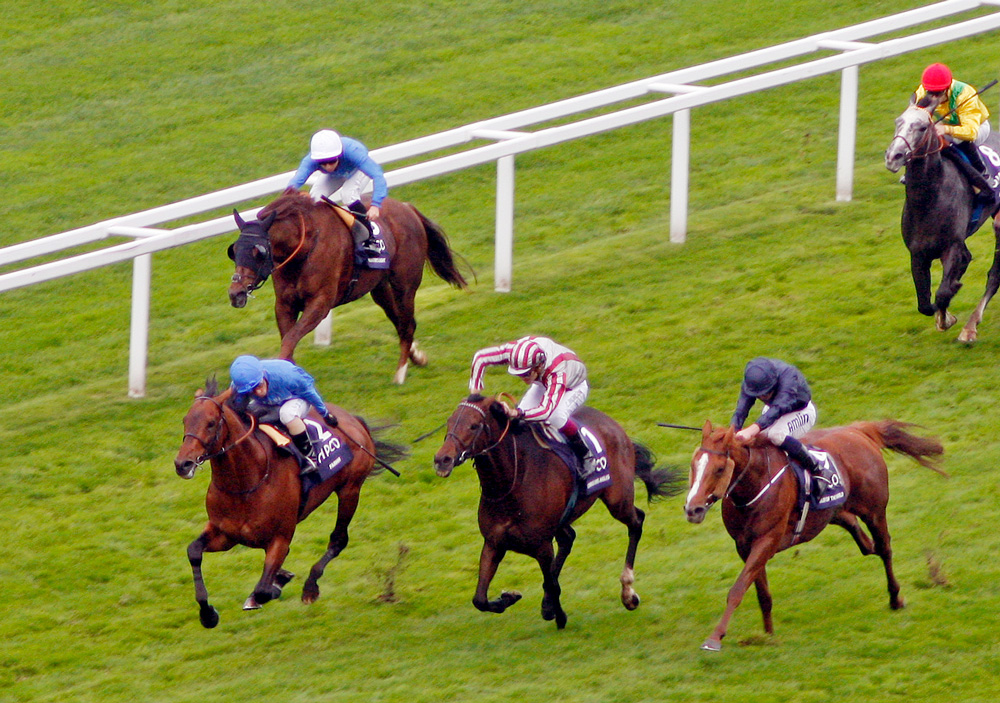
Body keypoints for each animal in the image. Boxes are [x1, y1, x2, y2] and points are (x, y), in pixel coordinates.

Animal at [174, 376, 404, 628]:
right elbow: (194, 551)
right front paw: (208, 614)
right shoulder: (226, 534)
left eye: (211, 423)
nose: (182, 464)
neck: (246, 482)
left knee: (339, 539)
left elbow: (263, 588)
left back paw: (310, 587)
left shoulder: (280, 537)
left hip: (350, 490)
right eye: (185, 420)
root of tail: (354, 420)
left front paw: (272, 587)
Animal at [229, 192, 470, 384]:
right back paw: (417, 357)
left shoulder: (320, 304)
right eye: (234, 250)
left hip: (405, 285)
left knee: (407, 323)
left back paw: (400, 373)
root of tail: (407, 207)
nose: (235, 293)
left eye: (258, 252)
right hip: (380, 288)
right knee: (399, 321)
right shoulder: (285, 304)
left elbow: (289, 340)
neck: (304, 245)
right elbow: (288, 340)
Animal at [430, 394, 680, 628]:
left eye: (474, 425)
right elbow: (480, 599)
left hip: (618, 500)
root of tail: (612, 423)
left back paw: (628, 593)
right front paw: (510, 598)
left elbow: (551, 582)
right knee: (569, 538)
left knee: (636, 521)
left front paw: (557, 614)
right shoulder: (493, 543)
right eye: (449, 422)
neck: (511, 482)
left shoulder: (541, 545)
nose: (442, 459)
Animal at [680, 418, 944, 656]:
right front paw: (768, 635)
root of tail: (858, 431)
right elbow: (761, 593)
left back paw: (896, 598)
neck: (756, 483)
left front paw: (714, 638)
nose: (693, 509)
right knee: (865, 540)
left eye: (719, 469)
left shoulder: (767, 540)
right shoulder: (744, 546)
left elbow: (737, 590)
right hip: (832, 511)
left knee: (885, 547)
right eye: (693, 465)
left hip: (874, 510)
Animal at [884, 95, 1000, 342]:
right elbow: (925, 304)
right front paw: (943, 316)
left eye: (922, 127)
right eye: (898, 121)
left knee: (995, 274)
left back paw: (970, 328)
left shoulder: (952, 247)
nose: (893, 156)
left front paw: (948, 316)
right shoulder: (918, 253)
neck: (929, 200)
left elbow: (943, 293)